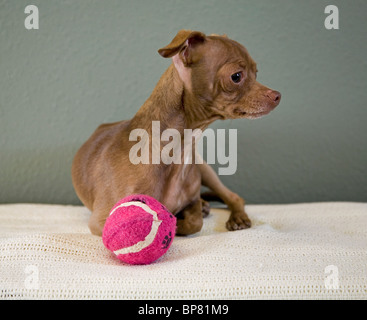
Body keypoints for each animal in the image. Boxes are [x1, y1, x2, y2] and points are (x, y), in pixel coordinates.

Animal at [72, 29, 282, 235]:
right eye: (236, 76)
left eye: (256, 73)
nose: (277, 96)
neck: (179, 151)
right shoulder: (101, 221)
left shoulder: (192, 200)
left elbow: (195, 222)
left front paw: (178, 220)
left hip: (205, 169)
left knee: (234, 197)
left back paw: (234, 216)